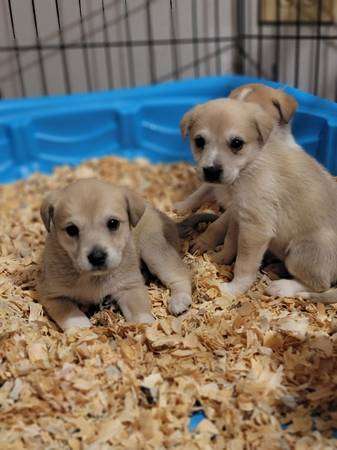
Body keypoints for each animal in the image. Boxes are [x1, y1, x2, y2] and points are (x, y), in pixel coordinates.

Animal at [38, 178, 190, 330]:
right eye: (71, 230)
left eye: (113, 223)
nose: (97, 257)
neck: (94, 278)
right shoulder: (52, 295)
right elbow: (70, 312)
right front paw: (82, 329)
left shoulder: (130, 287)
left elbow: (140, 312)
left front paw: (144, 326)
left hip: (153, 251)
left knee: (181, 275)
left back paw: (179, 301)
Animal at [180, 89, 337, 302]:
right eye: (199, 141)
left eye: (236, 143)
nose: (211, 171)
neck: (249, 167)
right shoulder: (238, 217)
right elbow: (230, 242)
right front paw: (219, 259)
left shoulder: (256, 229)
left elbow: (244, 266)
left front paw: (233, 289)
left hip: (303, 250)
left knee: (320, 285)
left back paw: (282, 287)